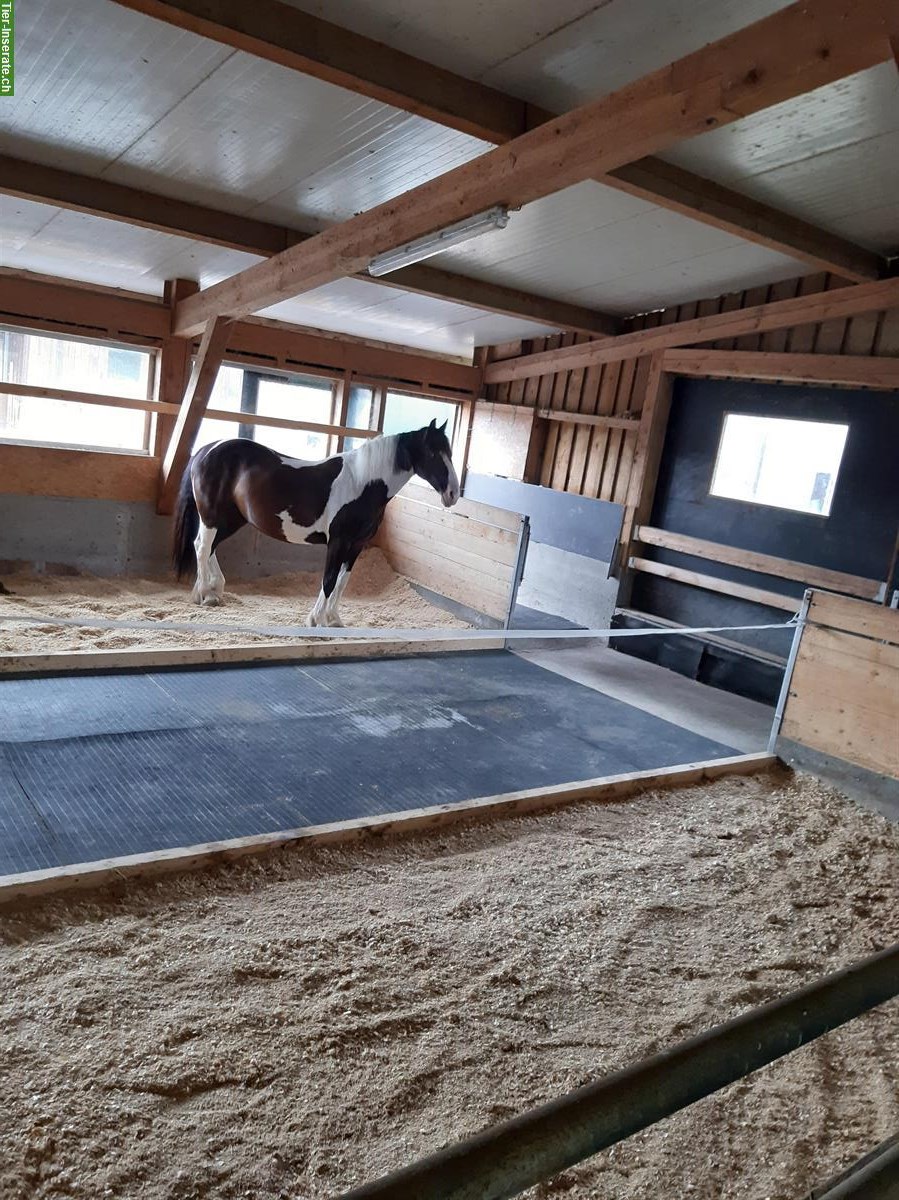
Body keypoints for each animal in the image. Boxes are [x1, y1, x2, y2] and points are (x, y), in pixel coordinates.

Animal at [172, 420, 458, 628]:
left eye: (450, 452)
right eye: (433, 451)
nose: (453, 493)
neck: (362, 482)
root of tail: (207, 449)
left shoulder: (356, 545)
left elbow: (342, 582)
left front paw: (334, 620)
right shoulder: (338, 541)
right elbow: (329, 580)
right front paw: (316, 619)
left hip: (232, 518)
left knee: (209, 547)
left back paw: (214, 590)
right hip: (212, 515)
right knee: (202, 546)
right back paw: (204, 595)